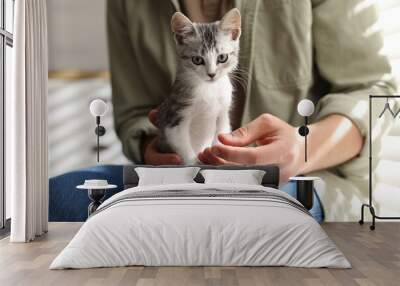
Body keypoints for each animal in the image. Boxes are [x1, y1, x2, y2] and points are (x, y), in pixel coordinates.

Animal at [157, 8, 241, 163]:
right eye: (197, 60)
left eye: (222, 57)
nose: (212, 74)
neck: (209, 89)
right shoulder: (175, 119)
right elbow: (184, 149)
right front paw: (195, 163)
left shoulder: (223, 112)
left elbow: (221, 133)